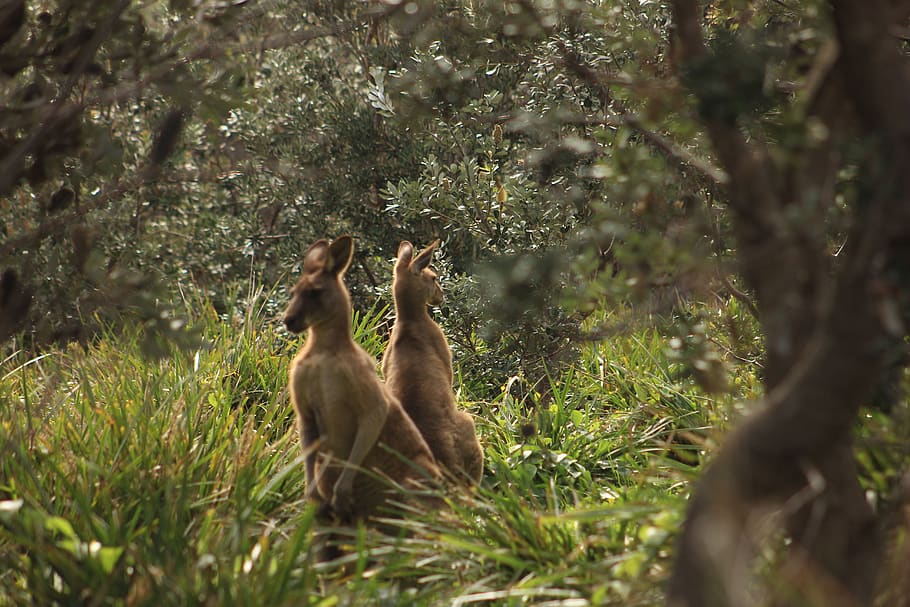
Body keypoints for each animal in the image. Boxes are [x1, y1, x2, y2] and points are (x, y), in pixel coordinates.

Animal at [283, 235, 440, 522]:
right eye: (293, 292)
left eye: (315, 292)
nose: (289, 321)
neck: (323, 352)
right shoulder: (303, 399)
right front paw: (314, 494)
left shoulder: (368, 394)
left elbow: (374, 415)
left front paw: (342, 493)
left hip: (414, 484)